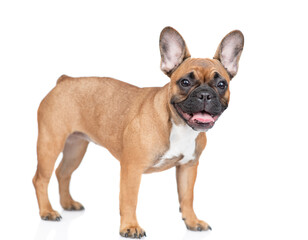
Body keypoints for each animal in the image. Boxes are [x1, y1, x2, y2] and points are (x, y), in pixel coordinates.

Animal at [32, 26, 244, 238]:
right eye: (184, 82)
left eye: (222, 84)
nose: (205, 95)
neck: (178, 124)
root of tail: (64, 81)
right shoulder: (132, 169)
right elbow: (129, 200)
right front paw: (130, 227)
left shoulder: (188, 167)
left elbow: (187, 197)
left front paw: (192, 221)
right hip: (50, 143)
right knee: (41, 179)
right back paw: (47, 211)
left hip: (75, 147)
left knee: (63, 172)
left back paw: (68, 203)